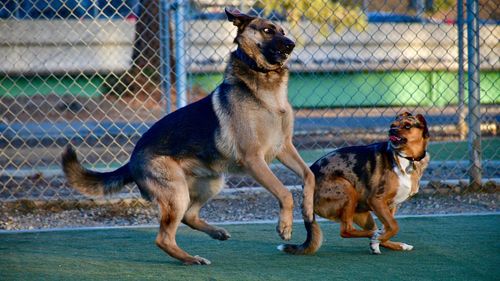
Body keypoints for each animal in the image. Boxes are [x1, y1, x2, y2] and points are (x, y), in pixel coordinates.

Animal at [61, 7, 312, 264]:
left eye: (283, 31)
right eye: (268, 30)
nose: (291, 44)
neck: (266, 87)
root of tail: (131, 160)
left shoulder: (285, 148)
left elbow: (309, 174)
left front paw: (308, 208)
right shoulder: (254, 159)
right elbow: (284, 192)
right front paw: (285, 226)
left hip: (212, 182)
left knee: (188, 216)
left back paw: (216, 233)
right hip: (177, 193)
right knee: (164, 237)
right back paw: (191, 259)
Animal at [282, 111, 430, 254]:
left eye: (407, 126)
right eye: (392, 125)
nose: (391, 130)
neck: (407, 158)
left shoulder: (391, 206)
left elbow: (390, 227)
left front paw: (380, 241)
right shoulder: (377, 200)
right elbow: (394, 226)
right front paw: (378, 238)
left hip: (362, 213)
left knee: (369, 230)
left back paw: (389, 244)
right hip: (348, 190)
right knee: (347, 231)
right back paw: (375, 237)